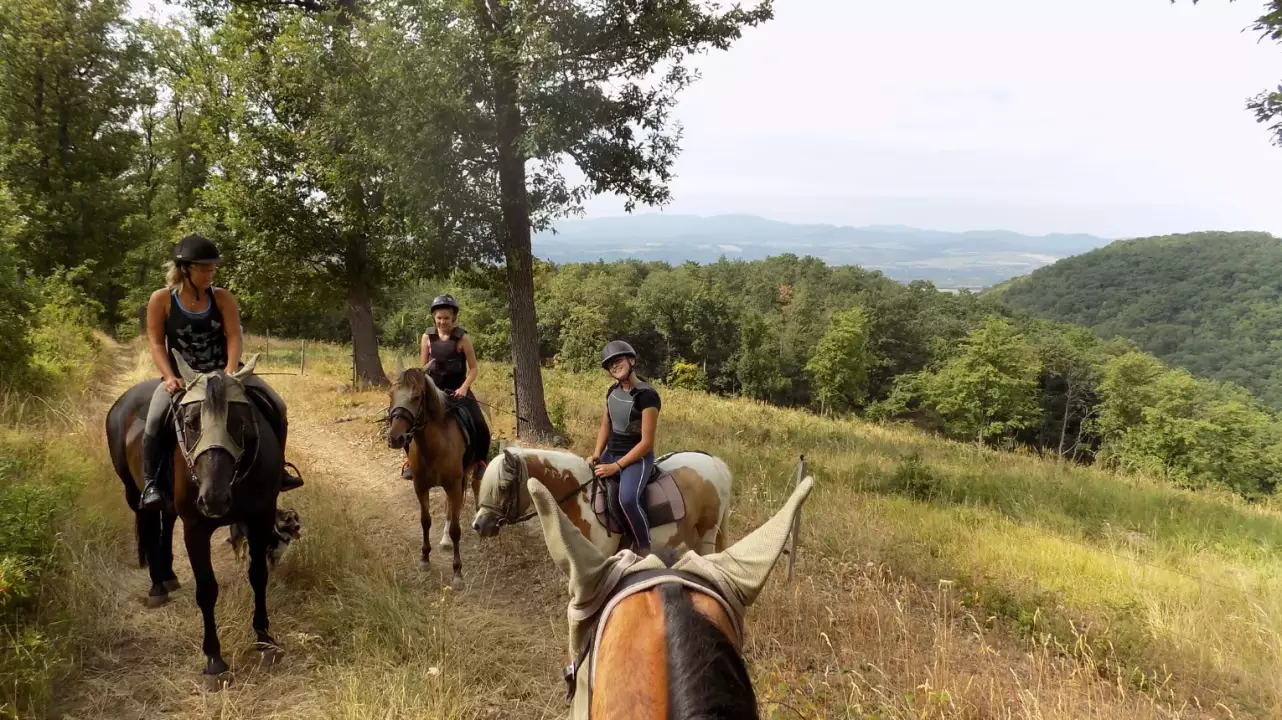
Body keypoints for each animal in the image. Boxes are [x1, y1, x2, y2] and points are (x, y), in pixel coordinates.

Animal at [102, 353, 288, 681]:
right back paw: (157, 587)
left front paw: (265, 639)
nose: (213, 499)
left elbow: (258, 575)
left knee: (164, 524)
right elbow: (207, 589)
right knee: (148, 527)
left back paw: (168, 576)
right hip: (133, 493)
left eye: (240, 422)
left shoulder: (261, 517)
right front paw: (214, 659)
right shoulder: (196, 529)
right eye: (189, 423)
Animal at [382, 361, 487, 586]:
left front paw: (457, 573)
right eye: (391, 394)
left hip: (473, 469)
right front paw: (424, 558)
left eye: (417, 396)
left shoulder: (453, 485)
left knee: (476, 486)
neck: (433, 445)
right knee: (449, 508)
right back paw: (445, 540)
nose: (395, 438)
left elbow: (457, 529)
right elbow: (426, 520)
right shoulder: (421, 486)